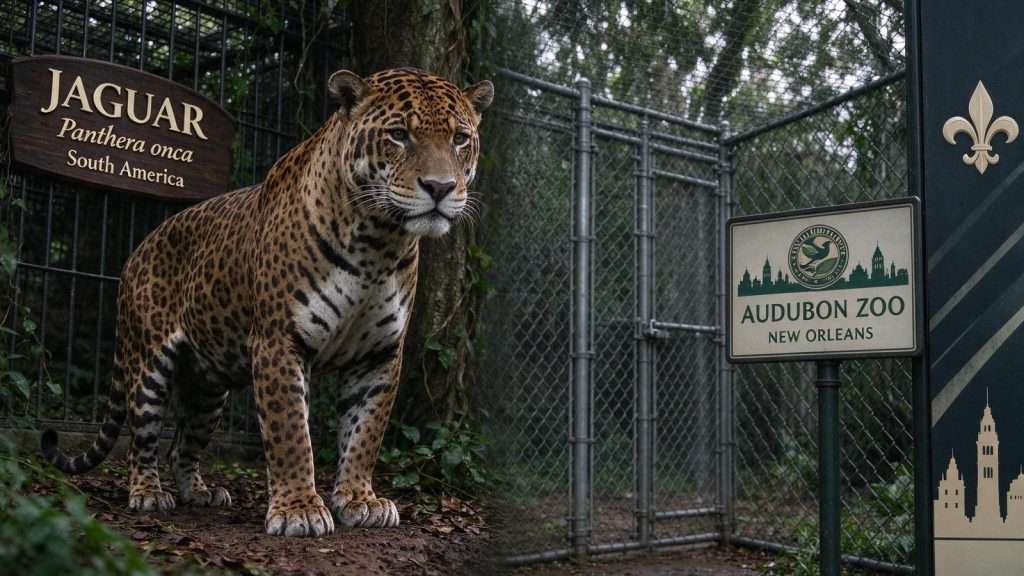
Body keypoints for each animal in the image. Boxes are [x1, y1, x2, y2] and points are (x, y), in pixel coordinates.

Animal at [40, 67, 494, 538]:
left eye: (460, 138)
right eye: (399, 135)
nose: (440, 187)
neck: (378, 242)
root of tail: (136, 252)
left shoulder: (380, 354)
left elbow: (365, 433)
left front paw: (359, 499)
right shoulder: (279, 341)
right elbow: (290, 430)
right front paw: (299, 510)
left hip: (209, 389)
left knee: (182, 445)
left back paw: (199, 493)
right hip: (149, 365)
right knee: (142, 438)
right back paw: (148, 493)